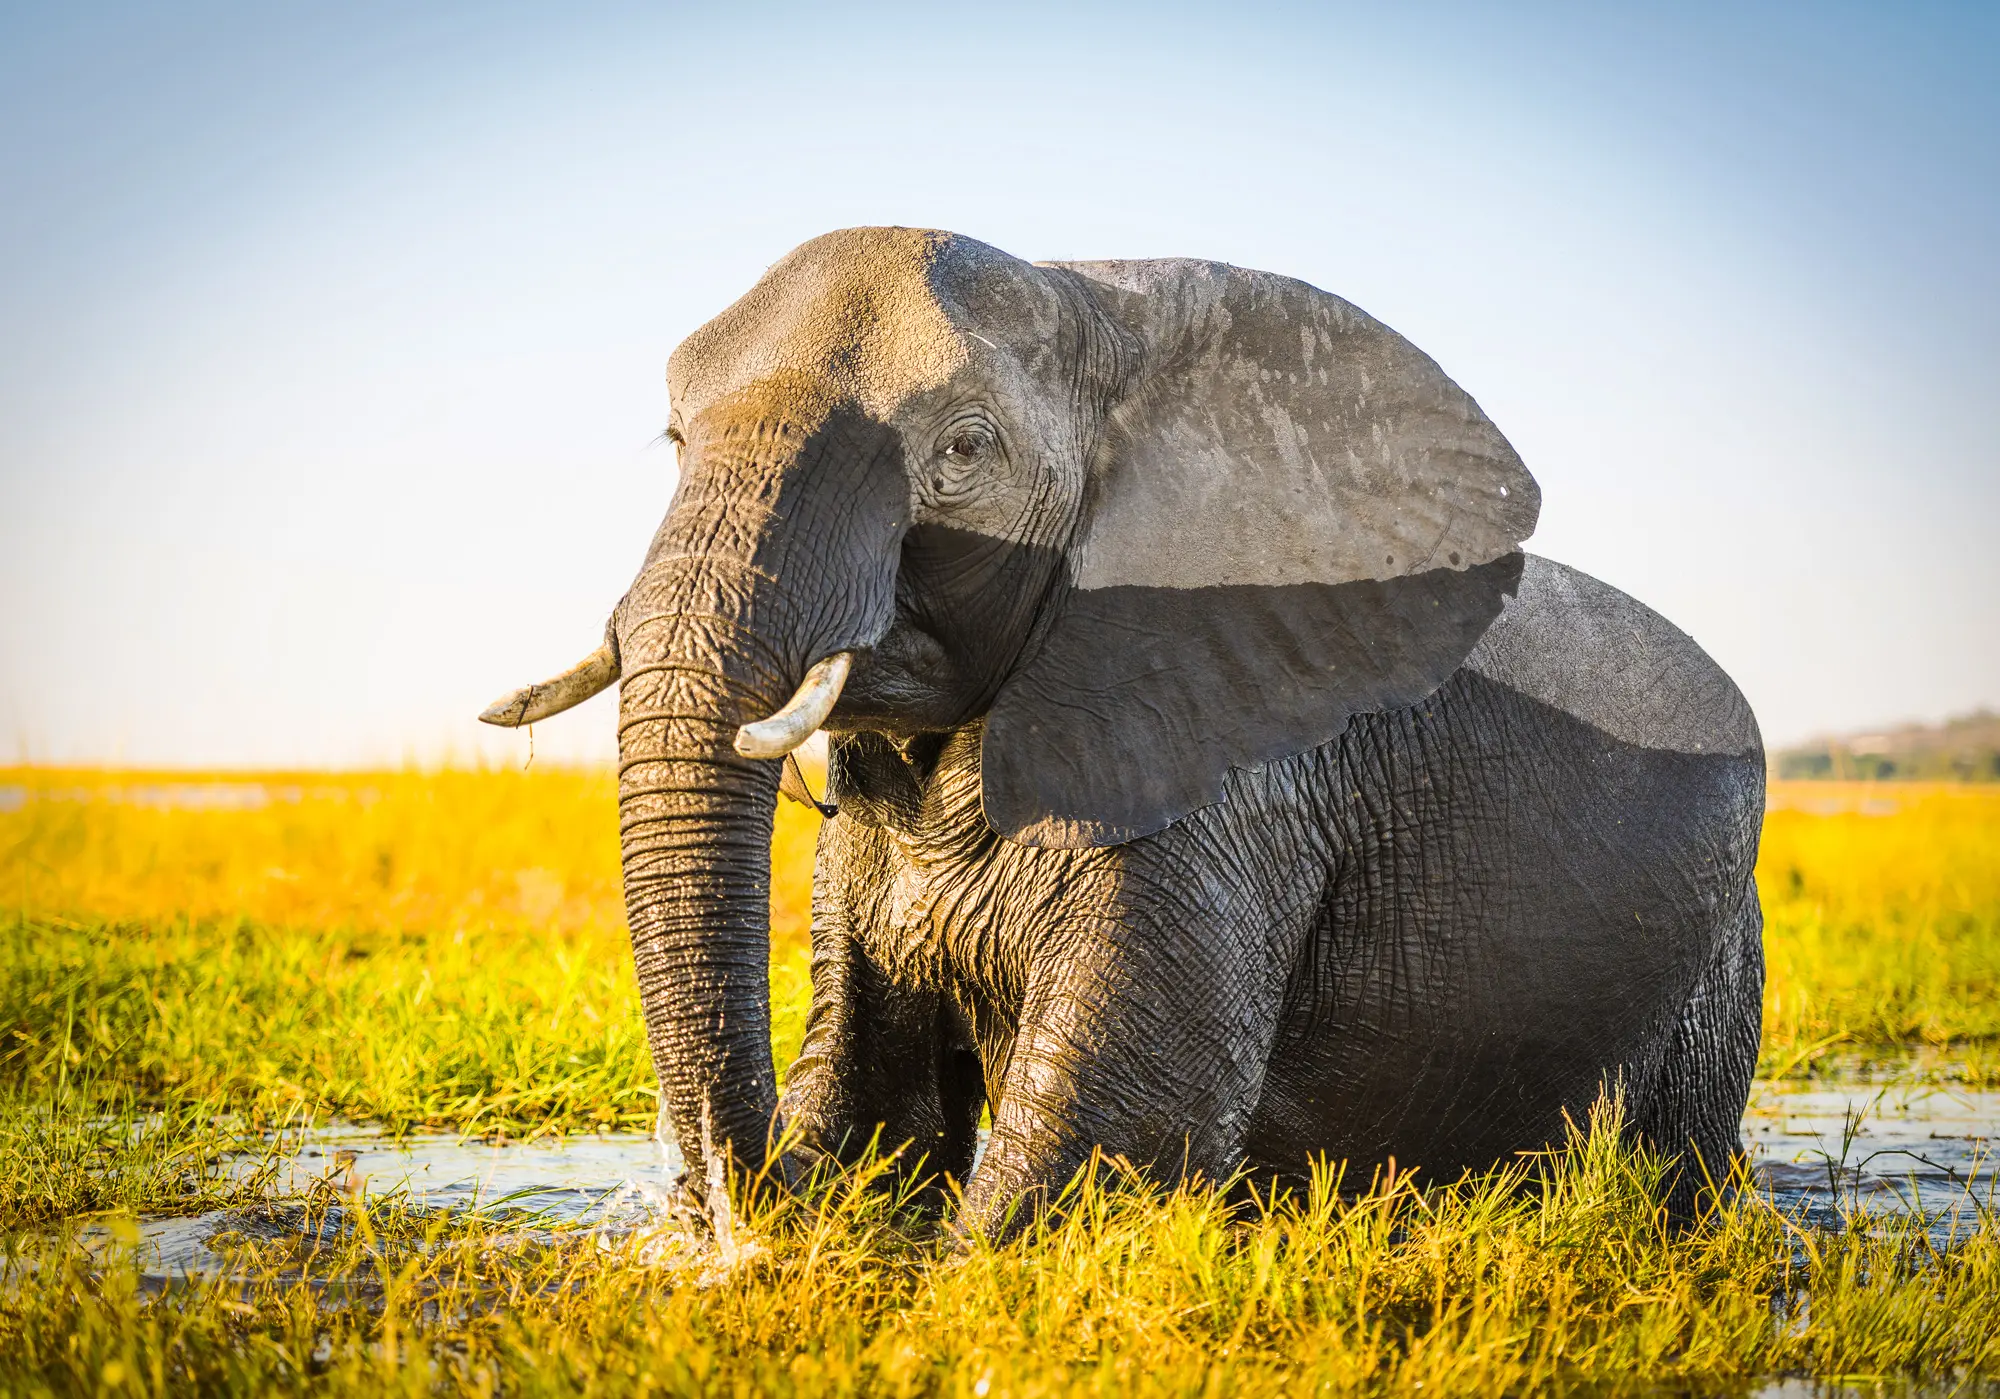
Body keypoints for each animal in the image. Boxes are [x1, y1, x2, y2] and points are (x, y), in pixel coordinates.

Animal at [482, 227, 1765, 1234]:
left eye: (963, 449)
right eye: (672, 440)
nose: (723, 1207)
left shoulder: (1233, 783)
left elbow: (1109, 1135)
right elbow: (868, 1098)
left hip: (1714, 974)